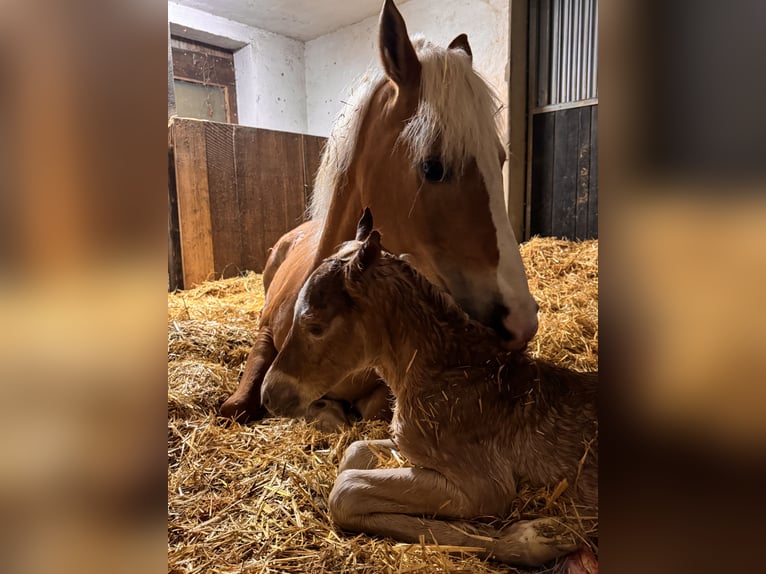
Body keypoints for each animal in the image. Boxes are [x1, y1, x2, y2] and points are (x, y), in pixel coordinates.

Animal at [218, 0, 540, 424]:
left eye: (500, 160)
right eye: (433, 167)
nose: (522, 320)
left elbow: (369, 406)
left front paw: (329, 410)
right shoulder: (266, 335)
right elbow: (235, 406)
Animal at [262, 215, 600, 568]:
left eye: (315, 325)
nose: (269, 394)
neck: (448, 376)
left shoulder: (484, 487)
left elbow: (346, 489)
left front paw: (534, 537)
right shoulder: (408, 449)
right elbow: (356, 451)